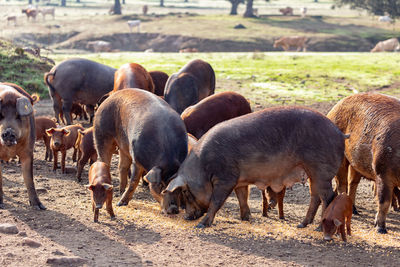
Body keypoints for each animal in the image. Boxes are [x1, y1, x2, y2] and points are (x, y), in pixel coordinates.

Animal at [0, 82, 45, 210]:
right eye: (0, 115)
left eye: (18, 116)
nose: (8, 132)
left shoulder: (28, 151)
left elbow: (29, 178)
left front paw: (39, 207)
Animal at [162, 107, 346, 228]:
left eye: (186, 192)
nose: (186, 217)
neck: (203, 169)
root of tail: (339, 133)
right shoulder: (240, 180)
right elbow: (243, 197)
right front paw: (246, 219)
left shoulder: (226, 178)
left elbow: (216, 201)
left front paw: (201, 225)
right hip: (312, 172)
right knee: (315, 197)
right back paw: (302, 225)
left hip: (322, 170)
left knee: (329, 196)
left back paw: (319, 228)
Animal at [326, 93, 400, 234]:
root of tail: (333, 109)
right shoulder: (382, 172)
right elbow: (383, 201)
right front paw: (380, 229)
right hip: (340, 158)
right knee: (342, 183)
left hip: (356, 164)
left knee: (352, 183)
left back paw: (355, 210)